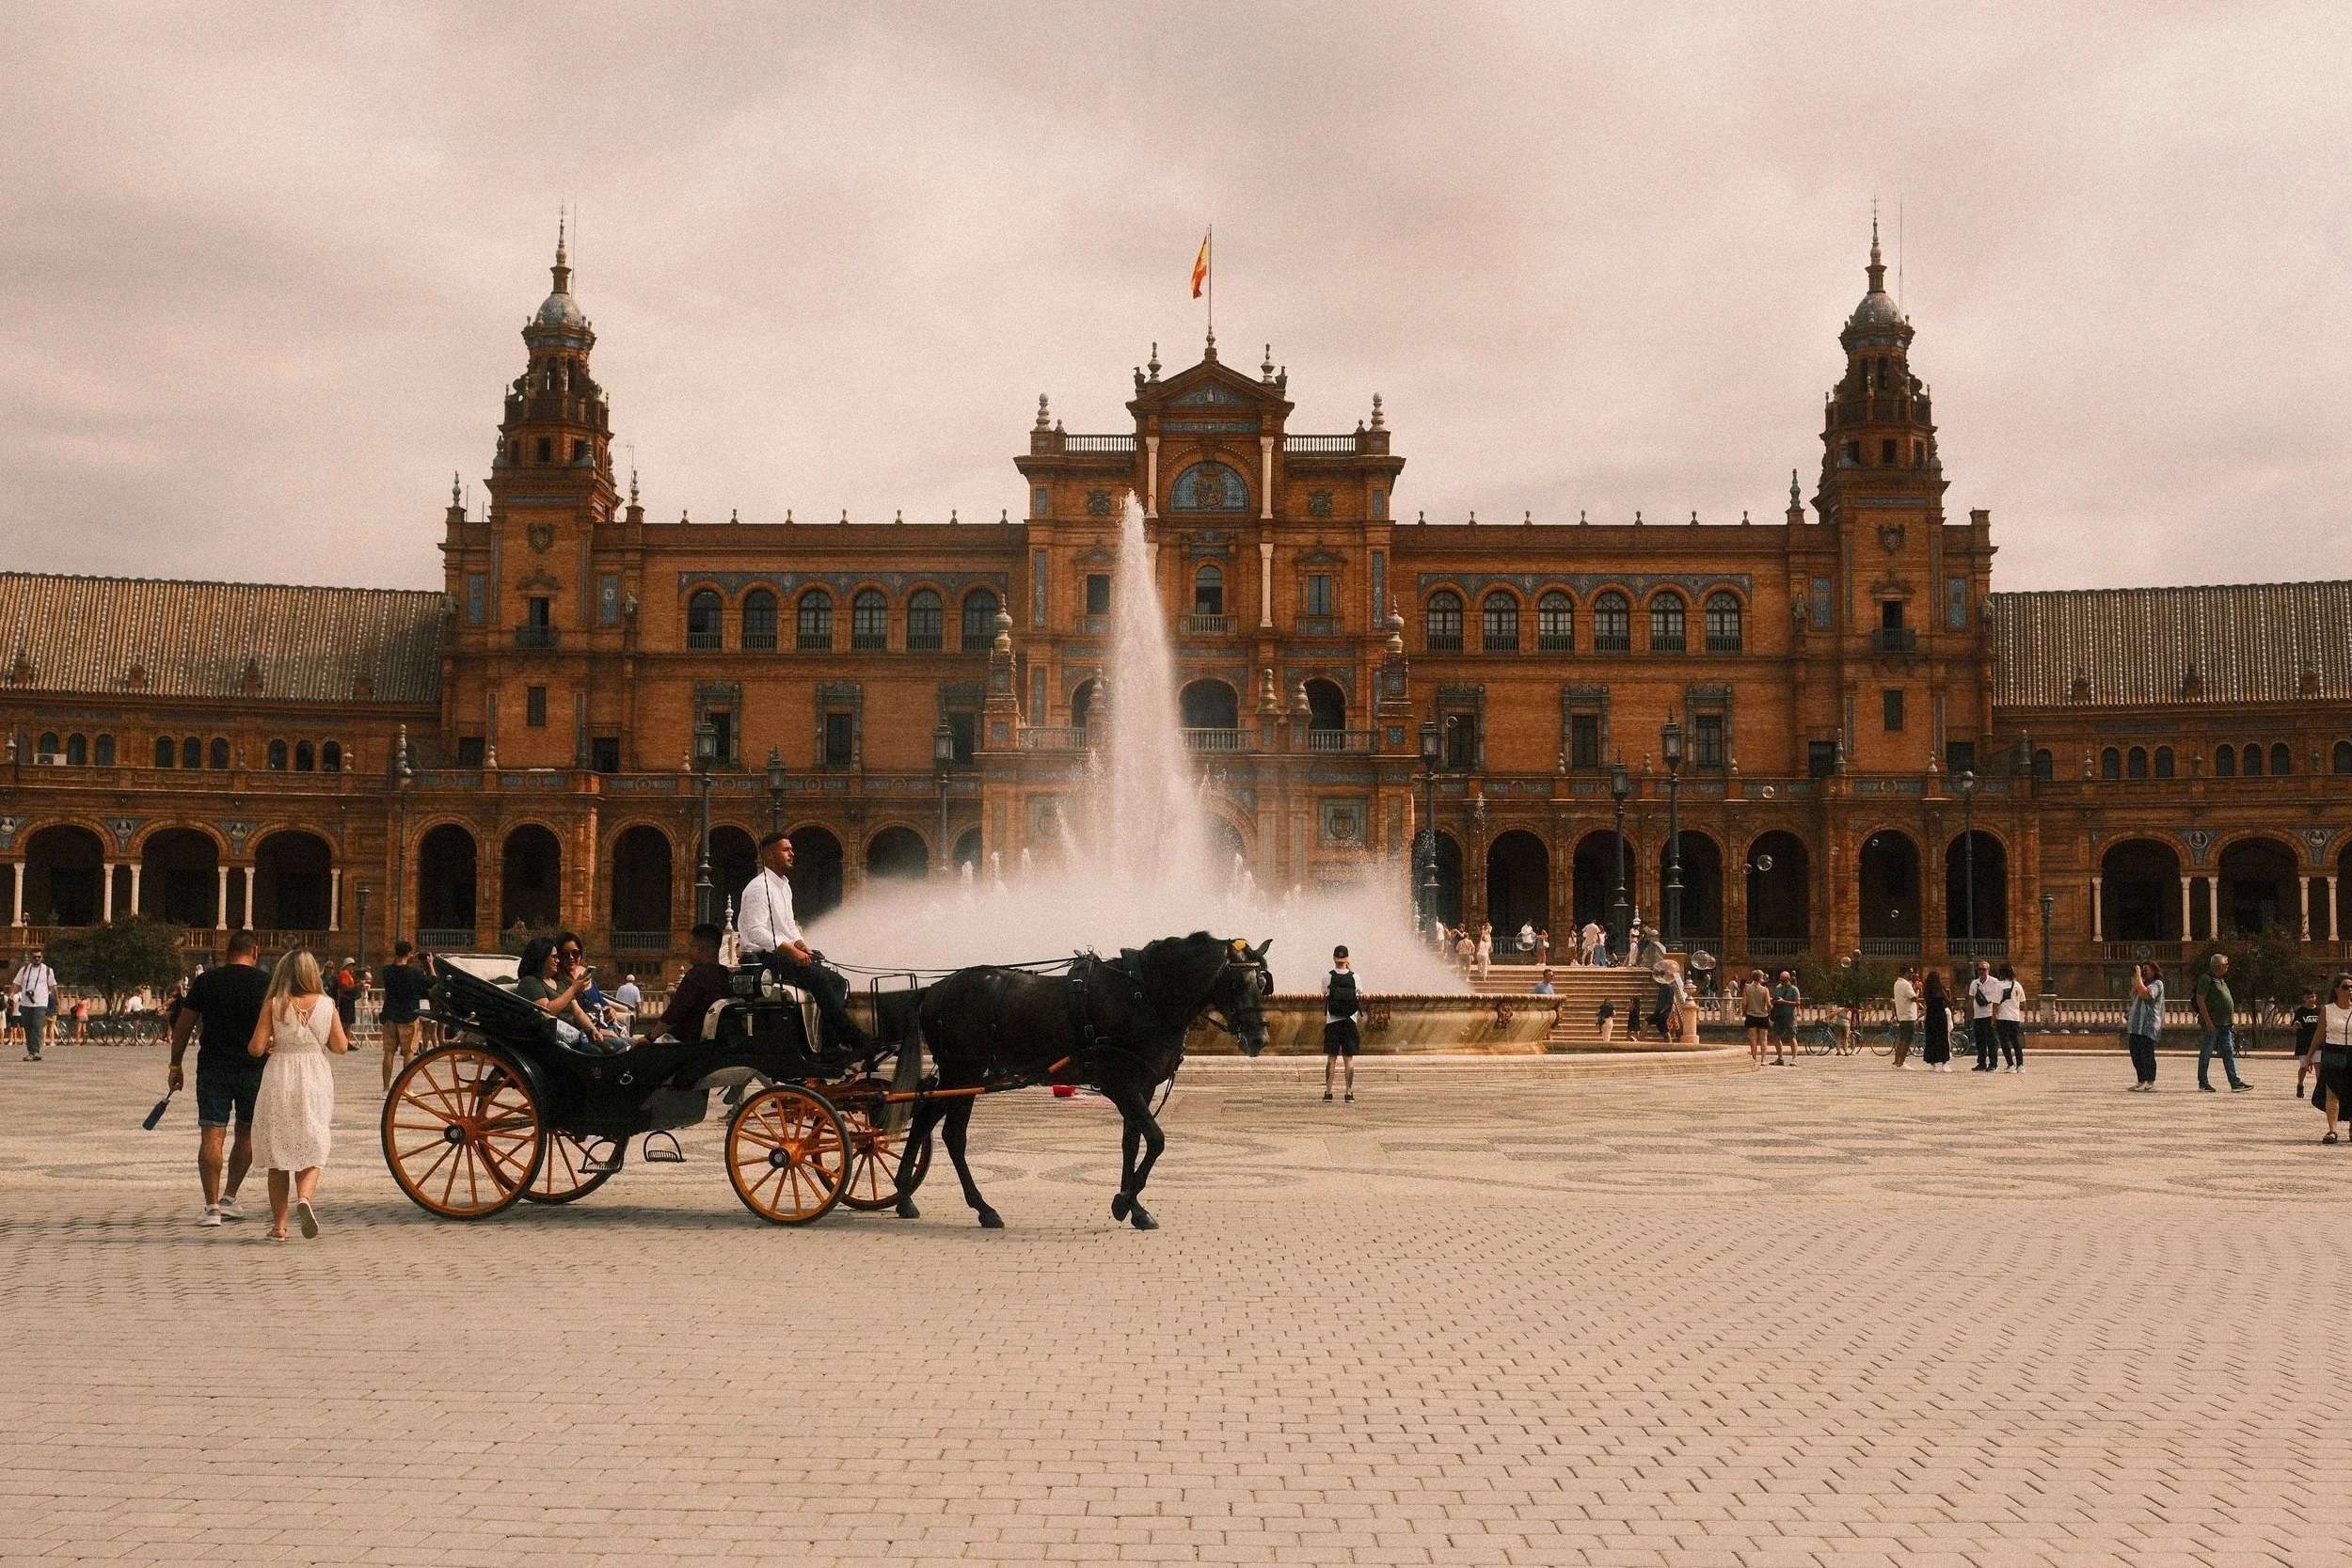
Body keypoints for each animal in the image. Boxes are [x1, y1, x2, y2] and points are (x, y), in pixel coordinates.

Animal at [896, 932, 1272, 1230]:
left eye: (1263, 983)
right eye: (1236, 983)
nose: (1259, 1039)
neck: (1145, 996)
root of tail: (933, 989)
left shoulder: (1143, 1086)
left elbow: (1132, 1143)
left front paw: (1133, 1206)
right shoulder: (1119, 1085)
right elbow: (1156, 1139)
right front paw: (1123, 1202)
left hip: (960, 1074)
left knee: (925, 1119)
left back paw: (903, 1195)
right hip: (964, 1071)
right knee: (952, 1134)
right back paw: (982, 1207)